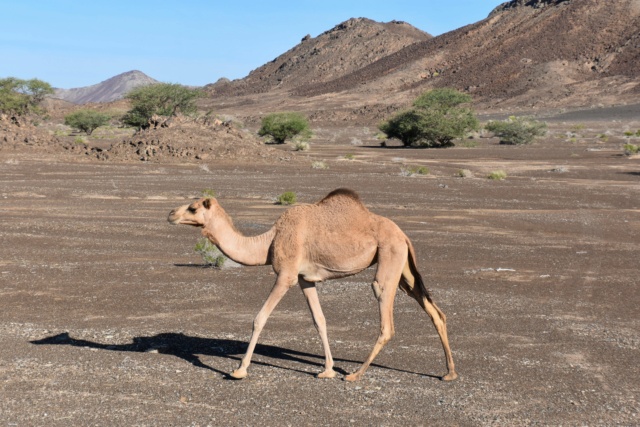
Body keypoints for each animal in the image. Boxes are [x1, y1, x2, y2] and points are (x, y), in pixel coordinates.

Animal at [168, 189, 458, 382]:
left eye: (193, 208)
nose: (170, 213)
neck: (269, 241)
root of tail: (403, 234)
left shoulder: (286, 274)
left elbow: (259, 318)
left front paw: (239, 369)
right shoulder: (305, 279)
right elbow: (320, 320)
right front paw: (327, 370)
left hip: (389, 255)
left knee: (385, 313)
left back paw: (355, 374)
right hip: (404, 268)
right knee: (435, 311)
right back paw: (449, 372)